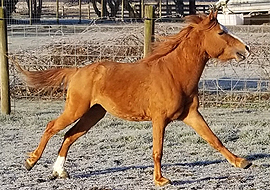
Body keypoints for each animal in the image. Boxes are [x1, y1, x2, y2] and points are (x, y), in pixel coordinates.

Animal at [17, 11, 251, 186]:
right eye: (221, 32)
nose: (246, 49)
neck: (174, 73)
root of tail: (76, 71)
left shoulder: (191, 115)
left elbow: (214, 139)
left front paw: (241, 162)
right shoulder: (159, 119)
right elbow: (158, 151)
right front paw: (160, 180)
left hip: (93, 114)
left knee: (69, 135)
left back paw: (60, 171)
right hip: (76, 109)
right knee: (51, 127)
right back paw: (30, 162)